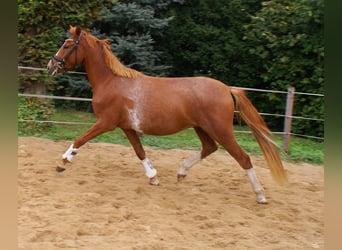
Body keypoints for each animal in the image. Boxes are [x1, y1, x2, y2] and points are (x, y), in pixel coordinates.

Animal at [46, 26, 288, 204]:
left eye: (67, 45)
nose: (50, 65)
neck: (112, 81)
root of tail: (227, 88)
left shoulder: (106, 122)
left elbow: (80, 139)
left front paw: (62, 162)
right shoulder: (127, 127)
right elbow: (140, 151)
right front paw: (153, 178)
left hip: (221, 130)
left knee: (242, 157)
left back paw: (260, 195)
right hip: (201, 128)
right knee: (209, 148)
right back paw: (181, 172)